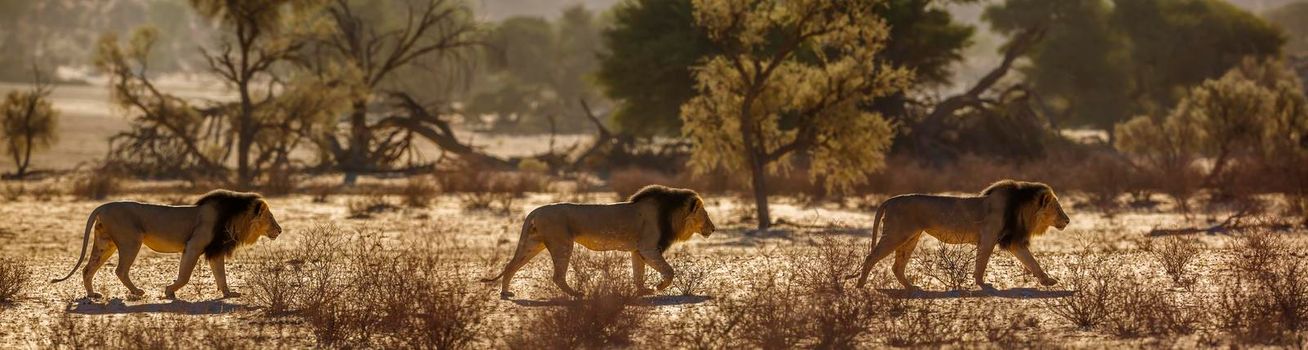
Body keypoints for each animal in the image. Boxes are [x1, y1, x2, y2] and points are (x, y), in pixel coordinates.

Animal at [52, 190, 282, 299]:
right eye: (271, 218)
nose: (280, 230)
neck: (235, 218)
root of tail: (103, 206)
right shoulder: (194, 245)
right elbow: (185, 275)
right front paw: (170, 291)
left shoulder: (215, 250)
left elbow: (221, 275)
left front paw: (228, 294)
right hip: (131, 241)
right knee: (120, 270)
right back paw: (137, 292)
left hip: (104, 244)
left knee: (87, 268)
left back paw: (92, 294)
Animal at [486, 185, 722, 297]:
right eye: (706, 214)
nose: (713, 228)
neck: (672, 214)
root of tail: (535, 210)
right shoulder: (649, 247)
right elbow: (669, 271)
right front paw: (658, 286)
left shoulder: (638, 250)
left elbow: (638, 273)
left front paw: (643, 291)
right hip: (562, 244)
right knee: (557, 276)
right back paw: (577, 294)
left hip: (533, 243)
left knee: (511, 266)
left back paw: (505, 292)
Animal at [852, 180, 1067, 289]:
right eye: (1058, 208)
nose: (1068, 220)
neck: (1023, 209)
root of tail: (890, 200)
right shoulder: (989, 237)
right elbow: (982, 263)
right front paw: (981, 283)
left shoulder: (1013, 241)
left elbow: (1032, 262)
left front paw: (1048, 281)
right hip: (896, 234)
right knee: (871, 257)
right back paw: (860, 284)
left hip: (910, 238)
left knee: (897, 266)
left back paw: (911, 287)